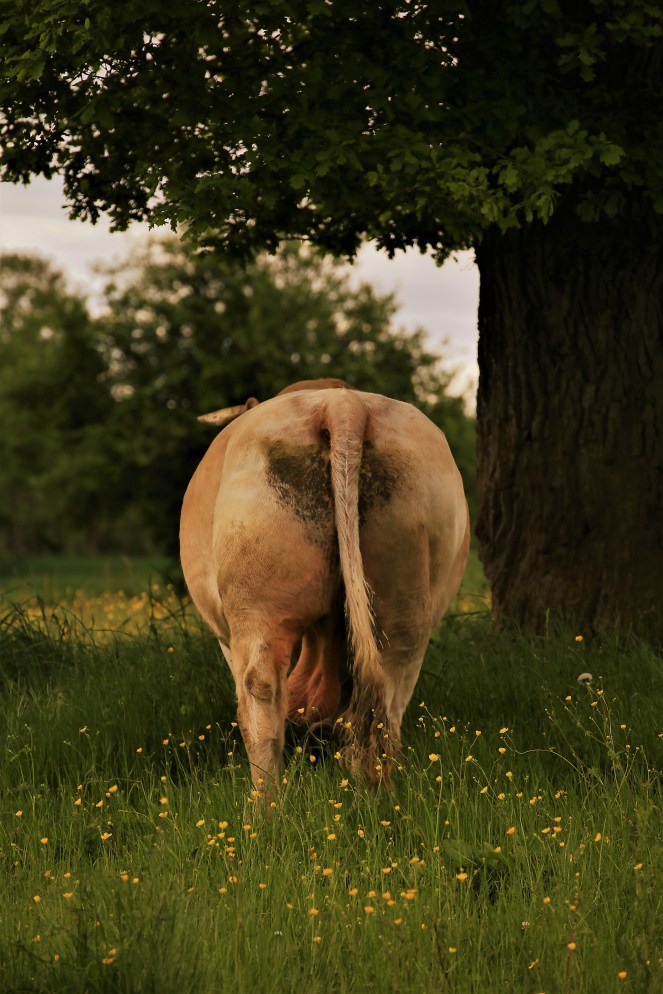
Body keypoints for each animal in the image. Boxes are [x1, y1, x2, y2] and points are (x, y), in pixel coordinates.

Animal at [180, 379, 469, 798]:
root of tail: (342, 403)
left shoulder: (226, 638)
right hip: (404, 594)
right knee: (387, 698)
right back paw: (378, 796)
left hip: (256, 604)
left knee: (260, 694)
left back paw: (264, 809)